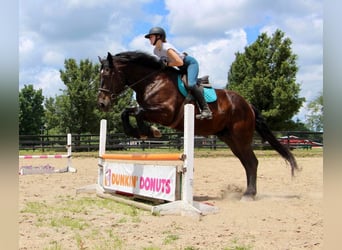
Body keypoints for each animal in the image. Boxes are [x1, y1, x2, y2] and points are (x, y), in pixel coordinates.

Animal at [97, 51, 300, 199]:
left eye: (108, 74)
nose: (102, 103)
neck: (151, 81)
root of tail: (248, 104)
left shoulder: (165, 113)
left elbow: (137, 112)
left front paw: (149, 131)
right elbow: (127, 112)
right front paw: (141, 132)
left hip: (240, 138)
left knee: (252, 162)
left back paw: (249, 195)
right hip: (231, 139)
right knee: (248, 163)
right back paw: (248, 193)